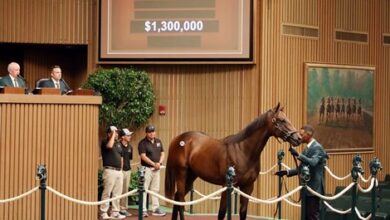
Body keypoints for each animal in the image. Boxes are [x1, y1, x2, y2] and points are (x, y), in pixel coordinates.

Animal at [165, 103, 302, 220]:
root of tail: (178, 139)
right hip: (182, 173)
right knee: (180, 200)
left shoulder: (248, 187)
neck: (243, 151)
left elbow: (243, 212)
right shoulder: (227, 186)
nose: (298, 138)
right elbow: (221, 213)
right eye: (281, 120)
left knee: (176, 198)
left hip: (191, 175)